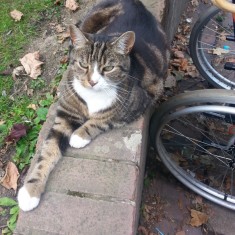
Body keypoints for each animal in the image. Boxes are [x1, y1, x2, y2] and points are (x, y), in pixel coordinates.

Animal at [17, 0, 170, 211]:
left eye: (108, 68)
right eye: (83, 65)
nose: (92, 81)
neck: (92, 96)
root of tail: (136, 3)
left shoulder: (141, 101)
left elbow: (103, 119)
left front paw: (78, 135)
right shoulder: (66, 113)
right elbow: (48, 150)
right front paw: (30, 191)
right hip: (89, 21)